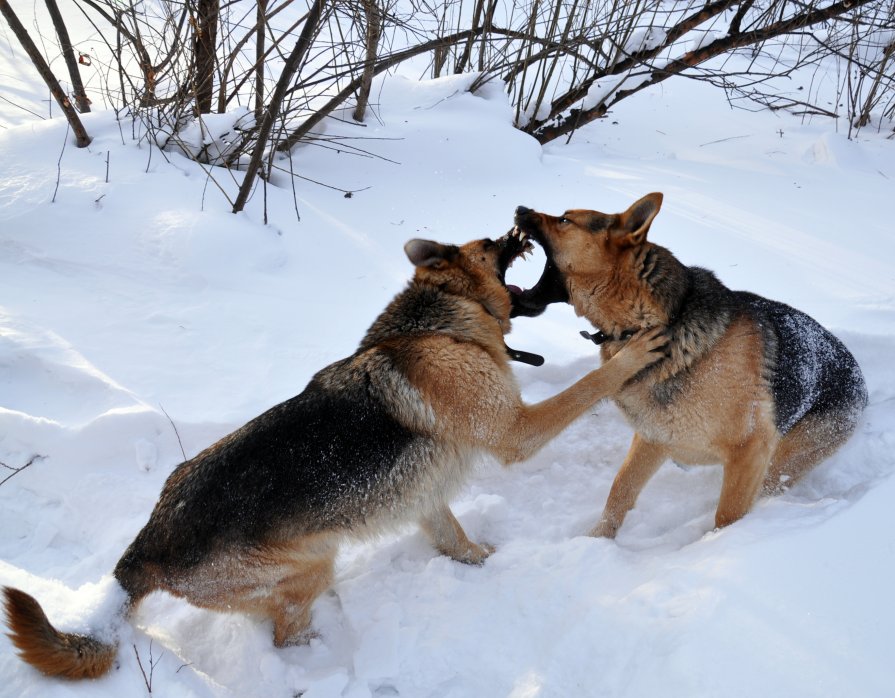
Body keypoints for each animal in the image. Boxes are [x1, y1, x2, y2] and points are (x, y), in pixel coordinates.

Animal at [5, 231, 664, 676]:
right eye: (487, 244)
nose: (516, 229)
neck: (438, 324)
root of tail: (147, 543)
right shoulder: (518, 432)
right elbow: (587, 387)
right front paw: (634, 352)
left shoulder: (426, 494)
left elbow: (455, 540)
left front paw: (482, 561)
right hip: (311, 566)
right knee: (284, 634)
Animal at [512, 193, 868, 536]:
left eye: (564, 220)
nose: (520, 209)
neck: (656, 321)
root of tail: (857, 375)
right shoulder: (654, 437)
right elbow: (620, 490)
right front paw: (597, 541)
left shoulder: (750, 449)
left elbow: (727, 516)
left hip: (784, 457)